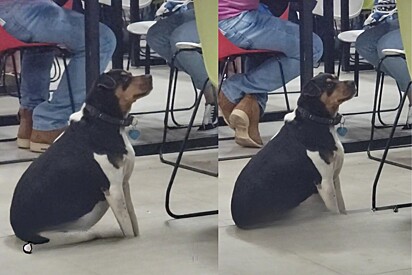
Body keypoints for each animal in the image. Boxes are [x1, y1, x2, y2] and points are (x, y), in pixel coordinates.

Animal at [9, 70, 153, 253]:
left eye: (129, 74)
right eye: (124, 78)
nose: (150, 76)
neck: (102, 119)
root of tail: (18, 230)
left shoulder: (124, 184)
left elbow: (133, 222)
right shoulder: (113, 190)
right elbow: (128, 228)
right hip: (69, 234)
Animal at [230, 74, 356, 231]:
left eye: (337, 78)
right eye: (328, 85)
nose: (353, 82)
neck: (314, 120)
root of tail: (237, 220)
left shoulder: (334, 177)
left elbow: (341, 204)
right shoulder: (325, 182)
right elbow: (335, 209)